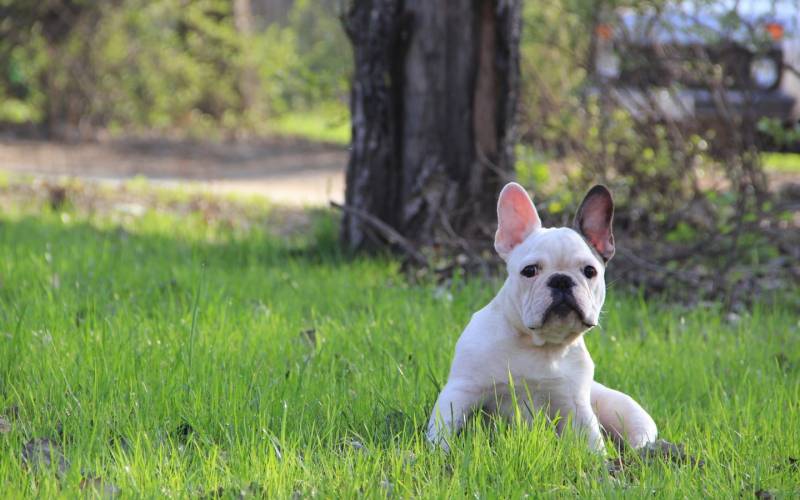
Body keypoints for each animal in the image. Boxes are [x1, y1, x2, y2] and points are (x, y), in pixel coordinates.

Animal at [424, 183, 656, 454]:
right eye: (529, 271)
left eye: (590, 271)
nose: (561, 280)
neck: (538, 344)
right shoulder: (461, 390)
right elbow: (443, 429)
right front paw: (438, 454)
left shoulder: (575, 405)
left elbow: (591, 441)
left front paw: (599, 461)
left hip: (629, 412)